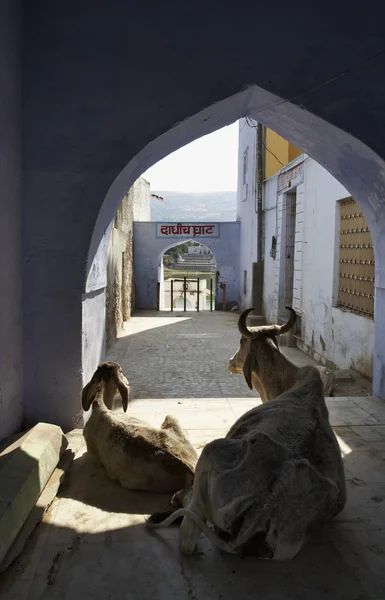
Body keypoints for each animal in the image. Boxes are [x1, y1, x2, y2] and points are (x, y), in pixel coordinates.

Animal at [146, 308, 344, 560]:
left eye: (242, 341)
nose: (231, 362)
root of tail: (264, 508)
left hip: (211, 452)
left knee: (189, 535)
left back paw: (176, 502)